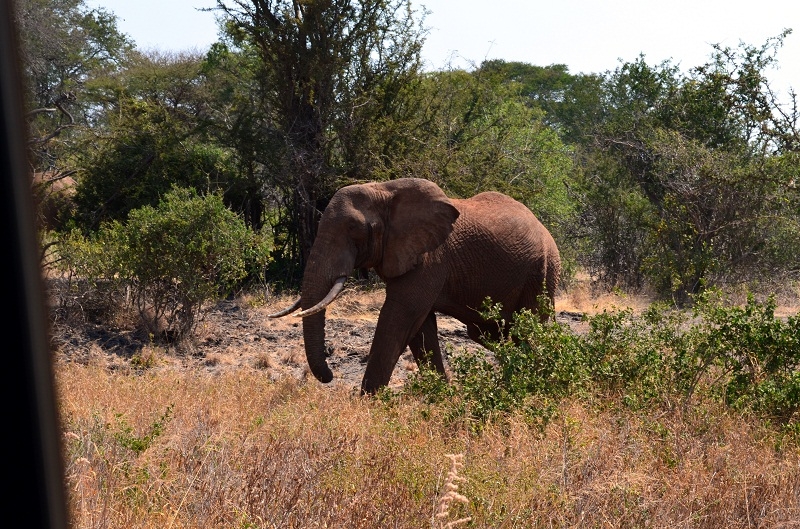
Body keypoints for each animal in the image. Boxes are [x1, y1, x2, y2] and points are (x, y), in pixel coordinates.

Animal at [272, 177, 560, 392]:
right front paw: (442, 397)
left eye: (355, 229)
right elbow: (420, 329)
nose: (330, 374)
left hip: (542, 272)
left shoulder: (430, 258)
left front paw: (367, 407)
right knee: (488, 333)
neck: (384, 190)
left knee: (527, 330)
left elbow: (399, 317)